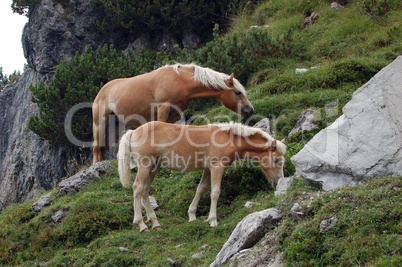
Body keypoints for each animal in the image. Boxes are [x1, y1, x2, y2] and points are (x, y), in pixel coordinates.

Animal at [92, 65, 253, 165]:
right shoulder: (163, 108)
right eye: (237, 92)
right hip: (100, 122)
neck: (179, 80)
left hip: (115, 125)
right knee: (96, 147)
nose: (250, 110)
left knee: (102, 148)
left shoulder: (174, 113)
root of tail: (102, 90)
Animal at [117, 121, 286, 232]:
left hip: (154, 167)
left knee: (145, 191)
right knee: (138, 188)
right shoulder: (217, 167)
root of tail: (134, 131)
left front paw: (192, 216)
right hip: (145, 165)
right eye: (276, 160)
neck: (229, 138)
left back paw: (155, 223)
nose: (279, 182)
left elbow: (201, 189)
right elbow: (215, 193)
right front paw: (212, 220)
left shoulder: (207, 169)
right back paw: (141, 224)